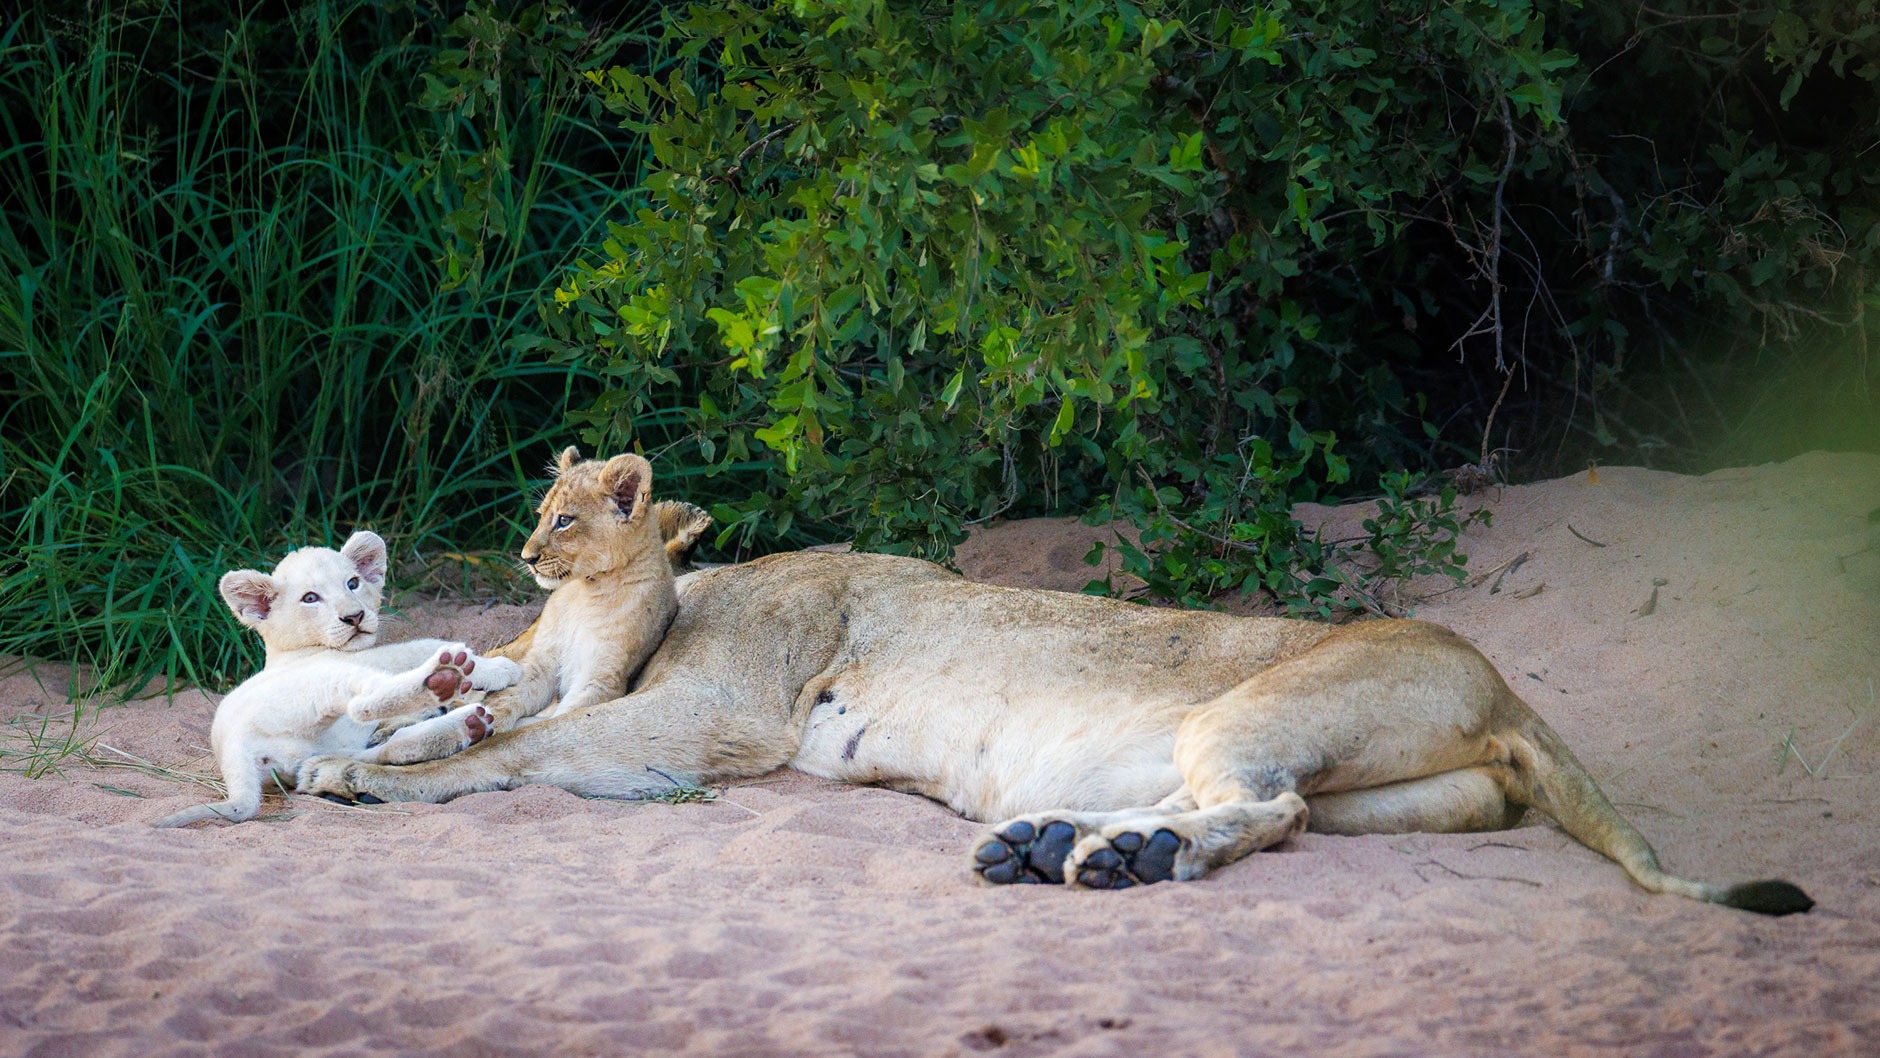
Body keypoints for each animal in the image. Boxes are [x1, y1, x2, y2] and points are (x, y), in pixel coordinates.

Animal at [299, 454, 1811, 914]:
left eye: (565, 519)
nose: (521, 550)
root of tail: (1505, 689)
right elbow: (495, 716)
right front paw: (386, 737)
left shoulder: (705, 719)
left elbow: (513, 752)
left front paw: (369, 773)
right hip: (1408, 796)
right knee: (1281, 815)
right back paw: (1063, 843)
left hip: (1255, 706)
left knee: (1263, 810)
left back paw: (1096, 858)